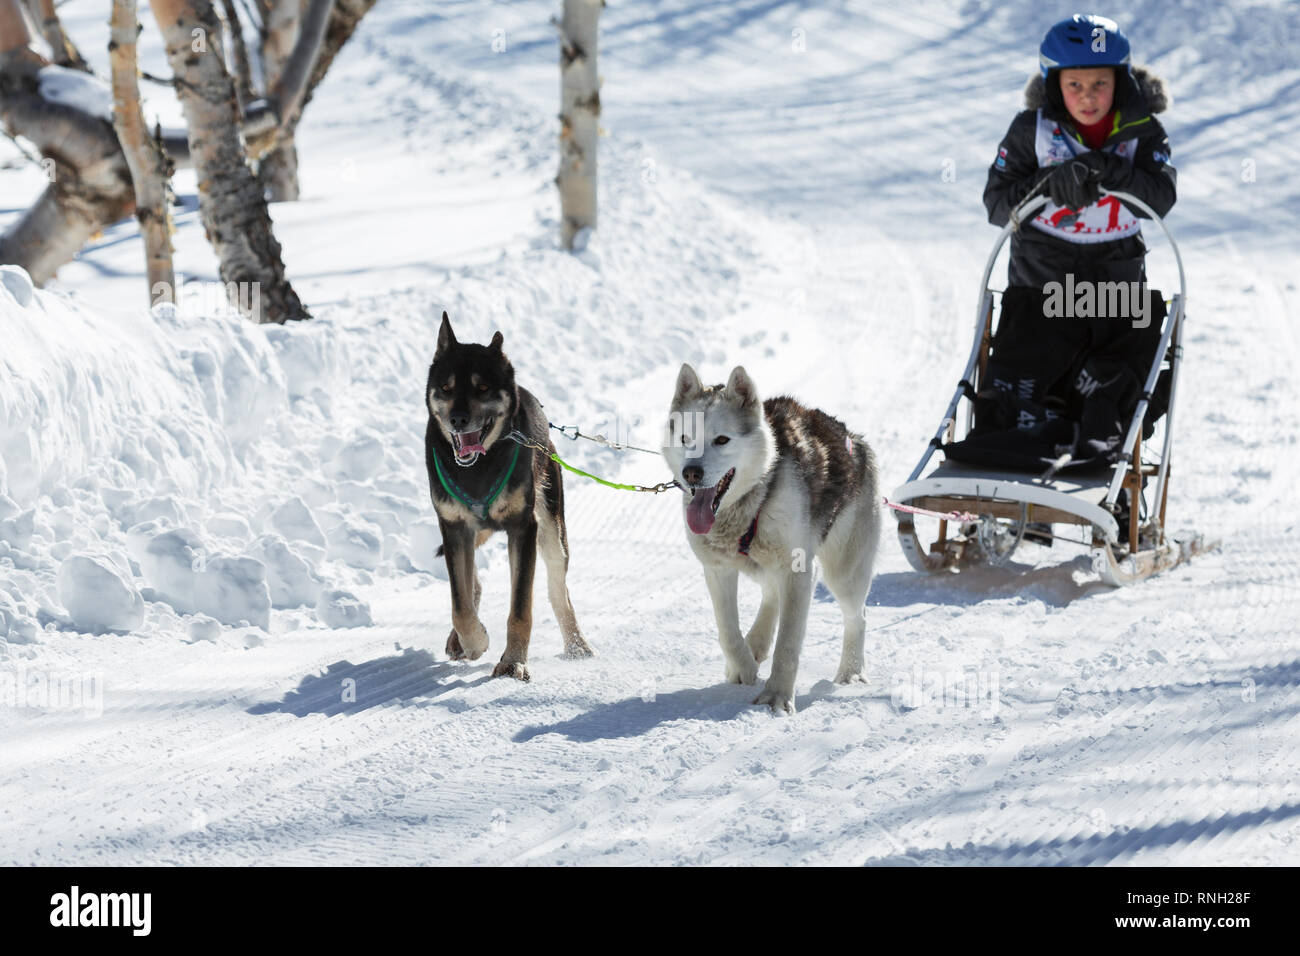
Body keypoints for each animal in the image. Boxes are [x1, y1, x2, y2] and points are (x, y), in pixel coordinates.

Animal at [423, 314, 592, 681]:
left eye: (482, 388)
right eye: (446, 388)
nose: (458, 420)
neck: (478, 468)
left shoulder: (523, 528)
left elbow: (520, 608)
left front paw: (513, 661)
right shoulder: (454, 528)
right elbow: (460, 604)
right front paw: (474, 641)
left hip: (552, 530)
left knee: (559, 591)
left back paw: (577, 646)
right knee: (471, 584)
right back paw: (459, 639)